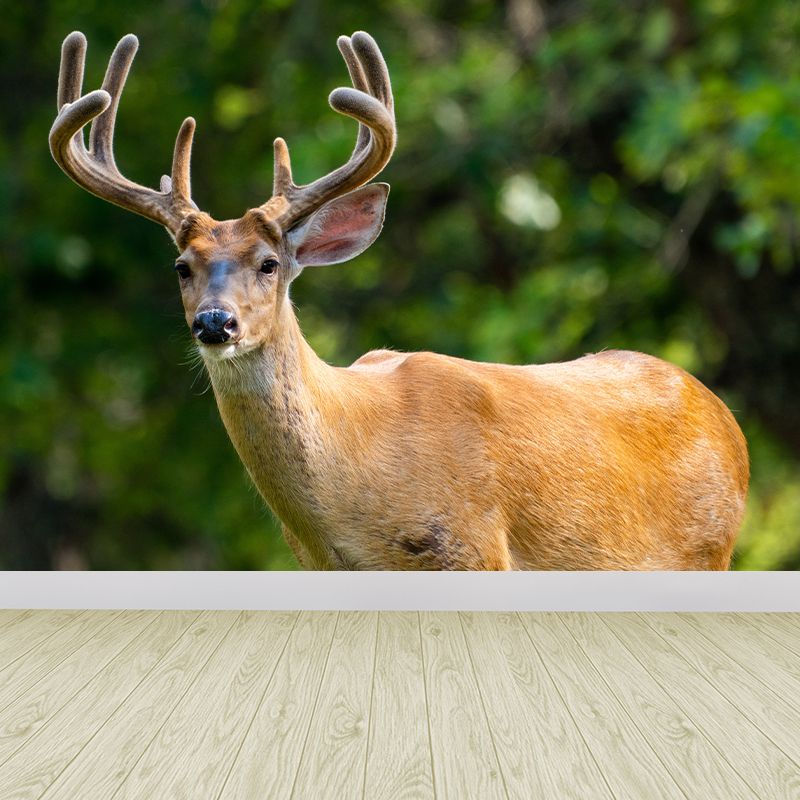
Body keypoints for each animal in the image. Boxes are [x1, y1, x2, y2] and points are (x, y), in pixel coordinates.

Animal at [49, 29, 749, 571]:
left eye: (270, 264)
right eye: (181, 267)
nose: (215, 323)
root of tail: (725, 420)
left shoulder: (474, 547)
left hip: (708, 553)